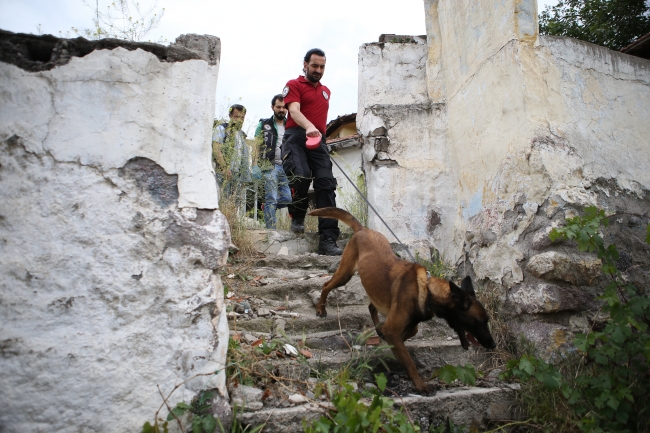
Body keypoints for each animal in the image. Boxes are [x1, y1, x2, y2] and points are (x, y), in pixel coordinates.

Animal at [306, 208, 494, 394]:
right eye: (479, 322)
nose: (493, 345)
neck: (428, 291)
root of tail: (363, 229)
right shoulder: (393, 329)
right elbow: (409, 362)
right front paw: (421, 386)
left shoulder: (404, 325)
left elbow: (410, 333)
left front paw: (391, 343)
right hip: (345, 274)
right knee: (326, 285)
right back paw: (320, 309)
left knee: (371, 307)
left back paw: (377, 328)